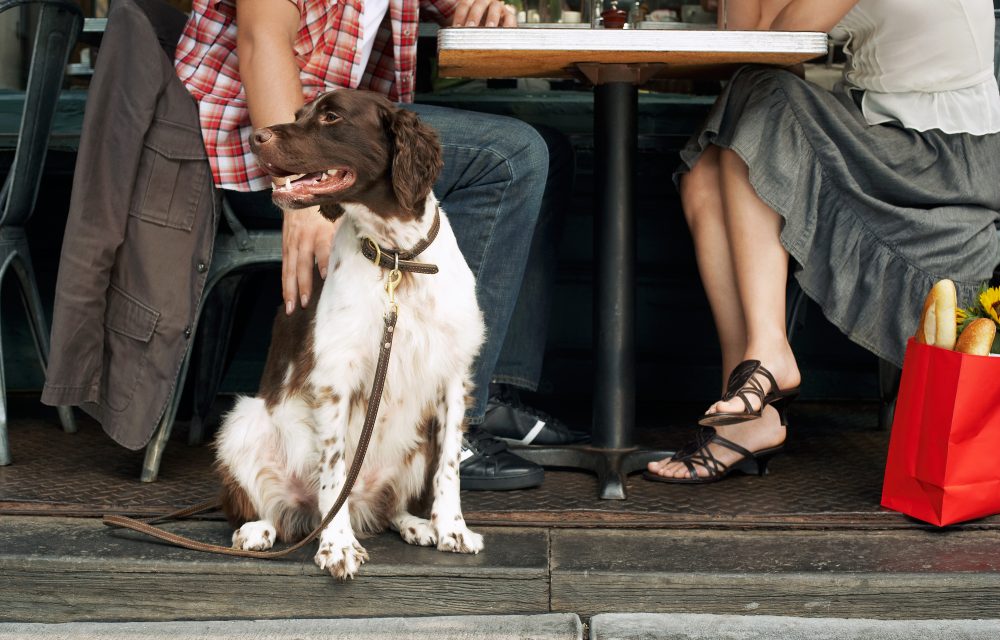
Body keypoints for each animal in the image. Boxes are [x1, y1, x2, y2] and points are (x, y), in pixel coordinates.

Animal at [215, 87, 488, 576]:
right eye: (299, 113)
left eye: (331, 117)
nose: (255, 137)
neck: (398, 259)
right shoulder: (334, 378)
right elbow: (335, 470)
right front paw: (337, 545)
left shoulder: (454, 375)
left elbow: (450, 466)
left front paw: (452, 529)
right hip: (243, 422)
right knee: (272, 511)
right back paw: (258, 531)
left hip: (415, 445)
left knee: (387, 509)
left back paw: (415, 524)